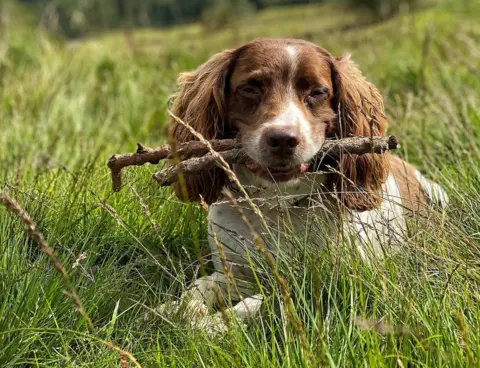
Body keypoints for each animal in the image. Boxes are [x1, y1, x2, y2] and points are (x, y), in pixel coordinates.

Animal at [163, 38, 448, 334]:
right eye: (251, 88)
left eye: (318, 92)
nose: (283, 139)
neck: (278, 205)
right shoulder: (236, 270)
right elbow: (193, 295)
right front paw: (182, 310)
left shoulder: (337, 279)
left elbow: (268, 299)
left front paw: (226, 318)